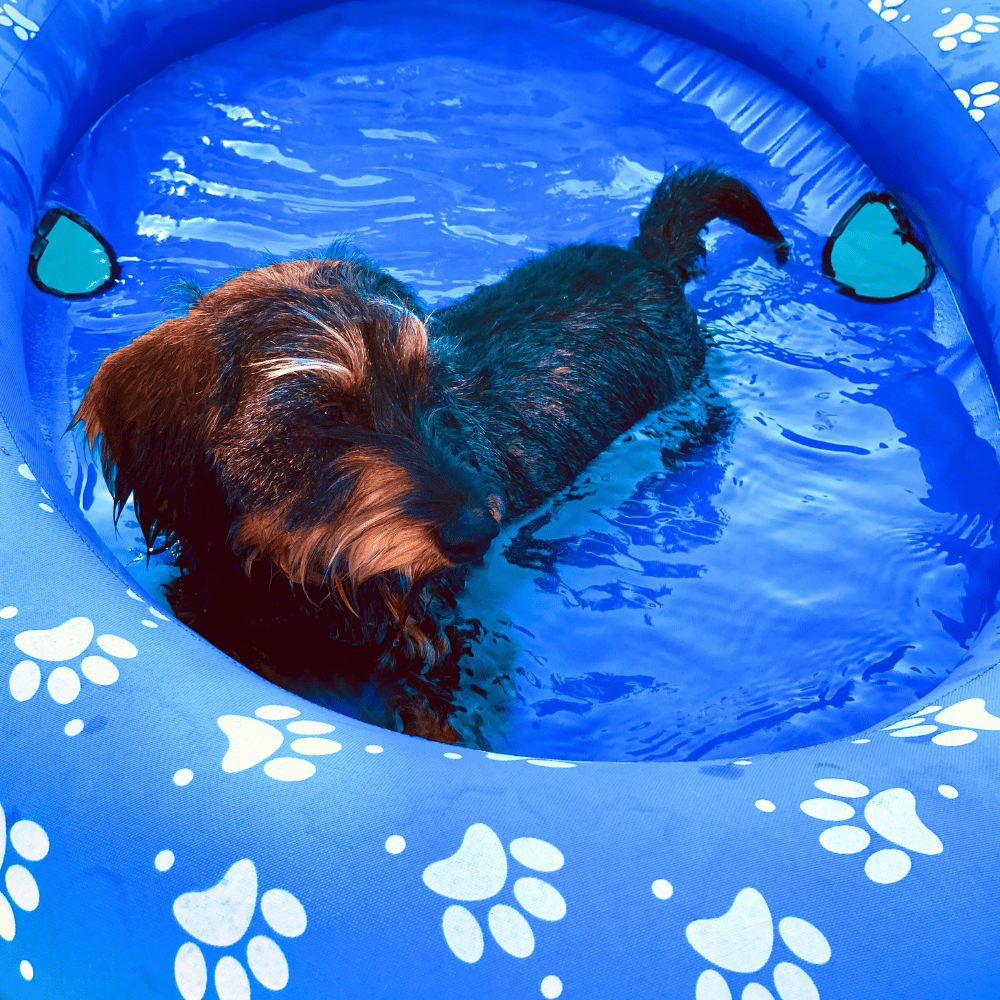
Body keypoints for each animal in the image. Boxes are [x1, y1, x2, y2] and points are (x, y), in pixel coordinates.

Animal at [74, 166, 784, 744]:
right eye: (326, 415)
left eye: (425, 386)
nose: (477, 531)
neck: (308, 579)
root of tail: (646, 259)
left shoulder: (442, 651)